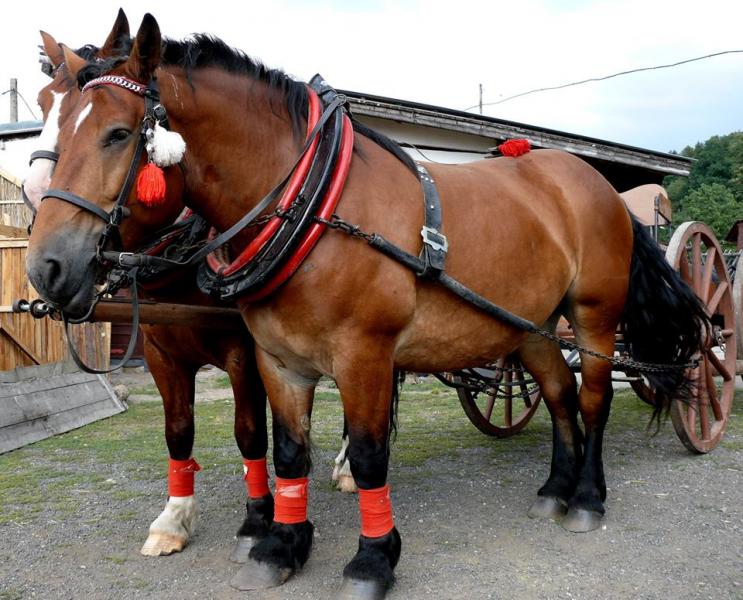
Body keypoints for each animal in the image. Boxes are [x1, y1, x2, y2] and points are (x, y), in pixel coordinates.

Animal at [24, 14, 708, 600]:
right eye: (46, 113)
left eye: (117, 134)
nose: (45, 266)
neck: (310, 207)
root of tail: (599, 185)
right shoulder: (276, 359)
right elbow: (284, 449)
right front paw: (281, 545)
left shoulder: (364, 355)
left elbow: (370, 453)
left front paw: (373, 559)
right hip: (533, 326)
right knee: (560, 397)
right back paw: (554, 489)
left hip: (592, 316)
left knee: (592, 399)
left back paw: (587, 498)